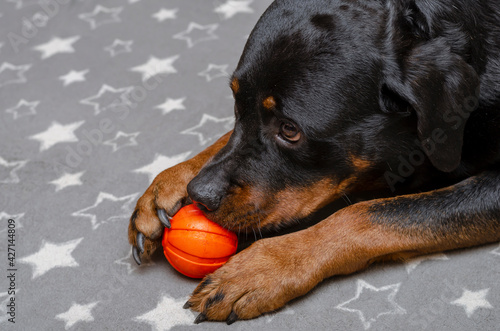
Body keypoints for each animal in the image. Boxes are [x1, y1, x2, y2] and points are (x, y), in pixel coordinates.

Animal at [128, 0, 500, 326]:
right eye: (236, 103)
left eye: (290, 130)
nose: (201, 194)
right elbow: (228, 139)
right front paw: (172, 181)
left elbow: (362, 215)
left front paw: (263, 267)